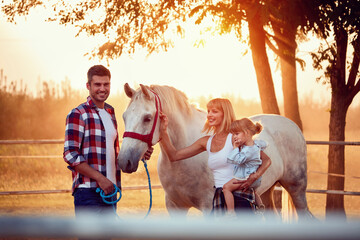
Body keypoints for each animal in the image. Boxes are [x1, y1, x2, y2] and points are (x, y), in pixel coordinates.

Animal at [117, 84, 312, 219]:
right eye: (124, 116)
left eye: (147, 118)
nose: (124, 161)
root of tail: (292, 125)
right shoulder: (174, 206)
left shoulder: (207, 206)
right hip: (266, 191)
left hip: (296, 189)